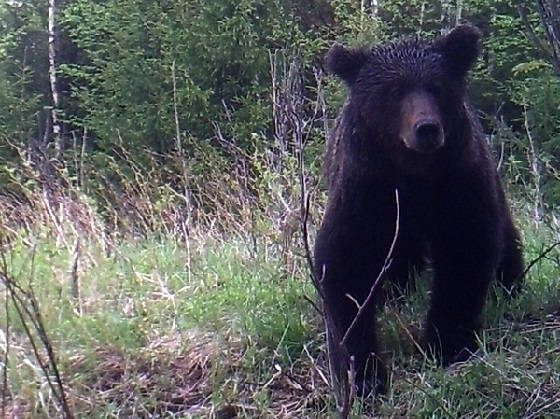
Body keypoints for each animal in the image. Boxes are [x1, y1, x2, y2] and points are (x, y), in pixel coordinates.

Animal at [316, 25, 524, 398]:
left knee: (505, 238)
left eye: (437, 86)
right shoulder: (366, 190)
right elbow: (344, 265)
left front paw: (445, 344)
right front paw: (363, 374)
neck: (413, 174)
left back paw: (510, 284)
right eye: (393, 90)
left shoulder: (458, 180)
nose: (426, 128)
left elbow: (465, 251)